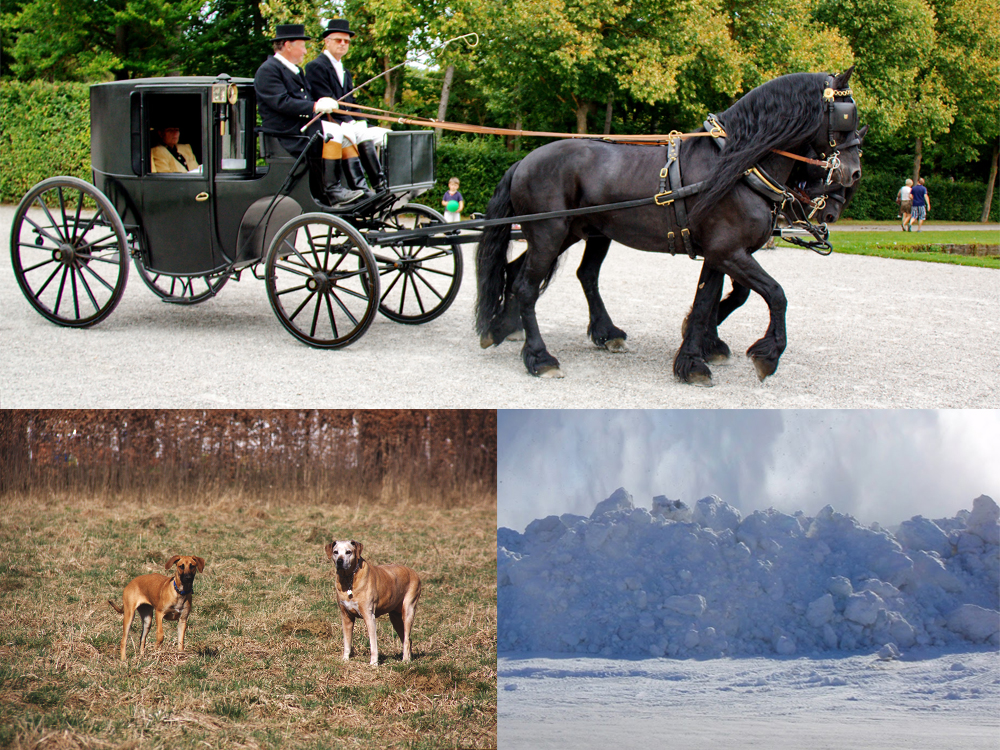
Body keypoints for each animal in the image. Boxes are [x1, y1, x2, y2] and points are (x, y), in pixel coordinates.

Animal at [476, 70, 860, 382]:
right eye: (846, 116)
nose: (852, 173)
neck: (737, 166)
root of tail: (524, 161)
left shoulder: (719, 253)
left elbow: (710, 300)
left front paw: (696, 355)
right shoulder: (729, 252)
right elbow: (775, 293)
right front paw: (765, 354)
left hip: (579, 234)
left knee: (546, 273)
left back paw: (511, 328)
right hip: (549, 234)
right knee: (527, 286)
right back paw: (539, 356)